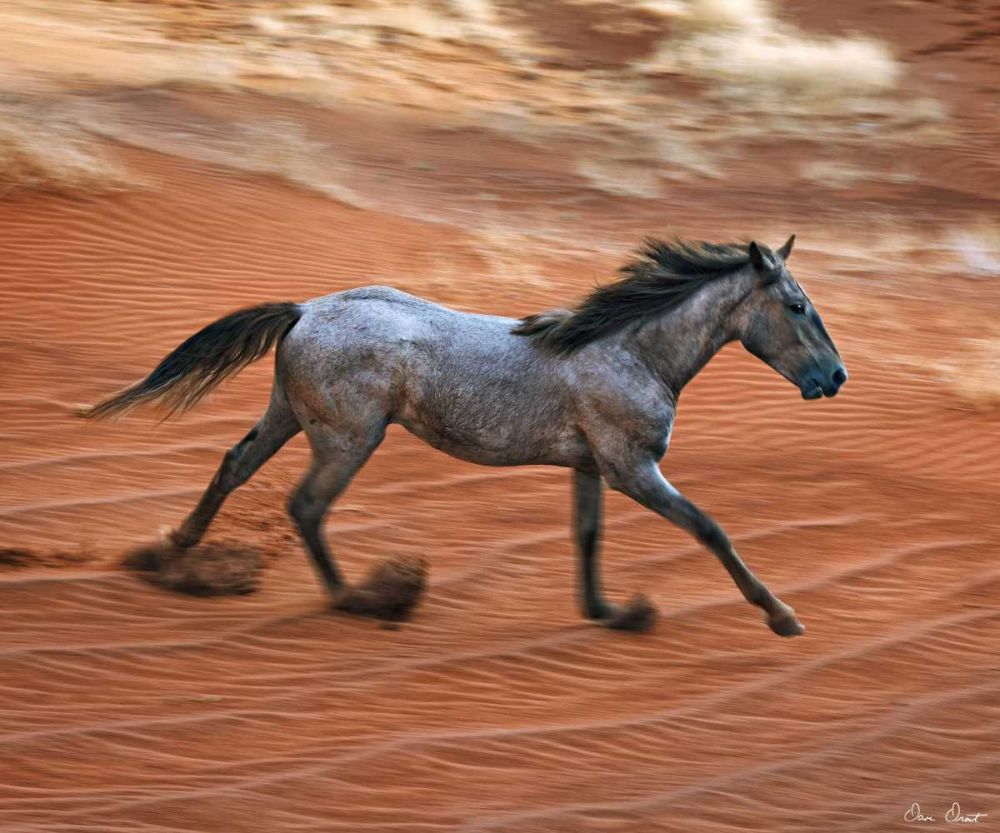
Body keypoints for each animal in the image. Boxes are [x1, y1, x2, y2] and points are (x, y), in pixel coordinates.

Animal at [83, 235, 847, 635]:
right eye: (795, 306)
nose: (836, 377)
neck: (633, 350)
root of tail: (305, 310)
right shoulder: (632, 467)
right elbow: (710, 527)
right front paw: (781, 615)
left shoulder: (592, 466)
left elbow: (588, 535)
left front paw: (609, 610)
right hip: (348, 438)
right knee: (305, 505)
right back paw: (358, 598)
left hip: (288, 414)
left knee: (234, 465)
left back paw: (172, 552)